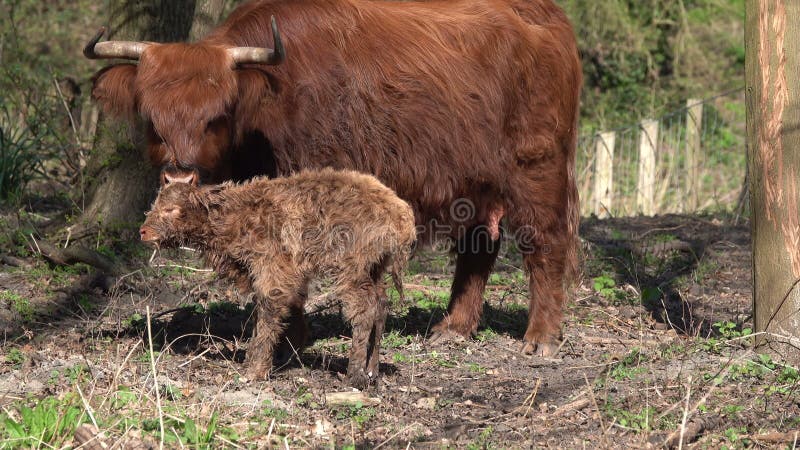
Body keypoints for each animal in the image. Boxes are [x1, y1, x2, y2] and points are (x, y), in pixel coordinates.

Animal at [142, 168, 418, 386]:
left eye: (170, 209)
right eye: (154, 204)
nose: (143, 231)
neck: (234, 218)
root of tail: (401, 214)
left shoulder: (272, 269)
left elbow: (268, 315)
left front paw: (255, 370)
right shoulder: (290, 274)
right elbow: (288, 311)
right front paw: (284, 357)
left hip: (352, 268)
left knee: (363, 311)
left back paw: (355, 375)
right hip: (375, 268)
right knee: (381, 305)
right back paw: (372, 370)